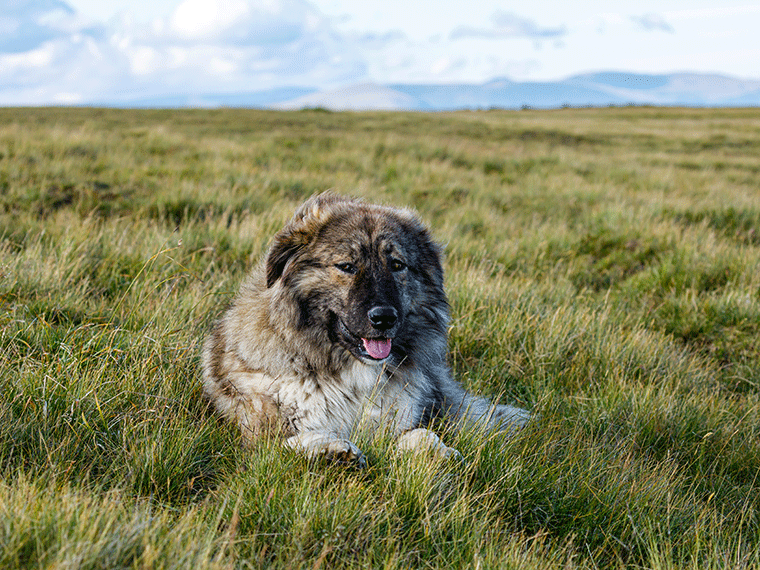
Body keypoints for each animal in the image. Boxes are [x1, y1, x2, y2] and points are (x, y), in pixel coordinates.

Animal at [202, 193, 528, 464]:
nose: (384, 318)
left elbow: (422, 434)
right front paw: (329, 449)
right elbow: (294, 441)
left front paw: (436, 452)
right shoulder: (261, 435)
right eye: (347, 266)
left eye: (397, 265)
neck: (352, 376)